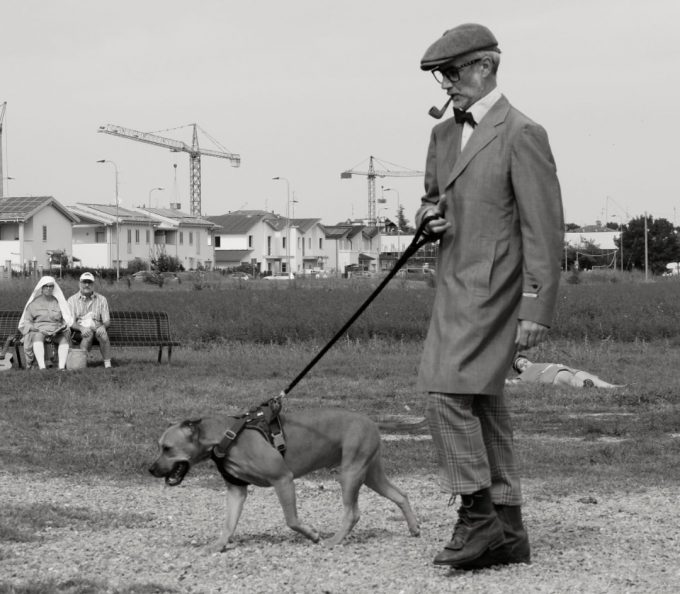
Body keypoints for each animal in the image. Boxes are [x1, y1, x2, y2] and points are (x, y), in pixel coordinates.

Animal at [149, 407, 420, 551]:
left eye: (167, 448)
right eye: (160, 447)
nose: (151, 469)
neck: (226, 438)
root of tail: (371, 421)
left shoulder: (283, 479)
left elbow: (291, 520)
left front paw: (312, 534)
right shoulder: (236, 491)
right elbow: (228, 523)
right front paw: (219, 544)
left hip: (351, 474)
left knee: (352, 512)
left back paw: (334, 540)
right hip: (370, 474)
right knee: (400, 495)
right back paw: (414, 528)